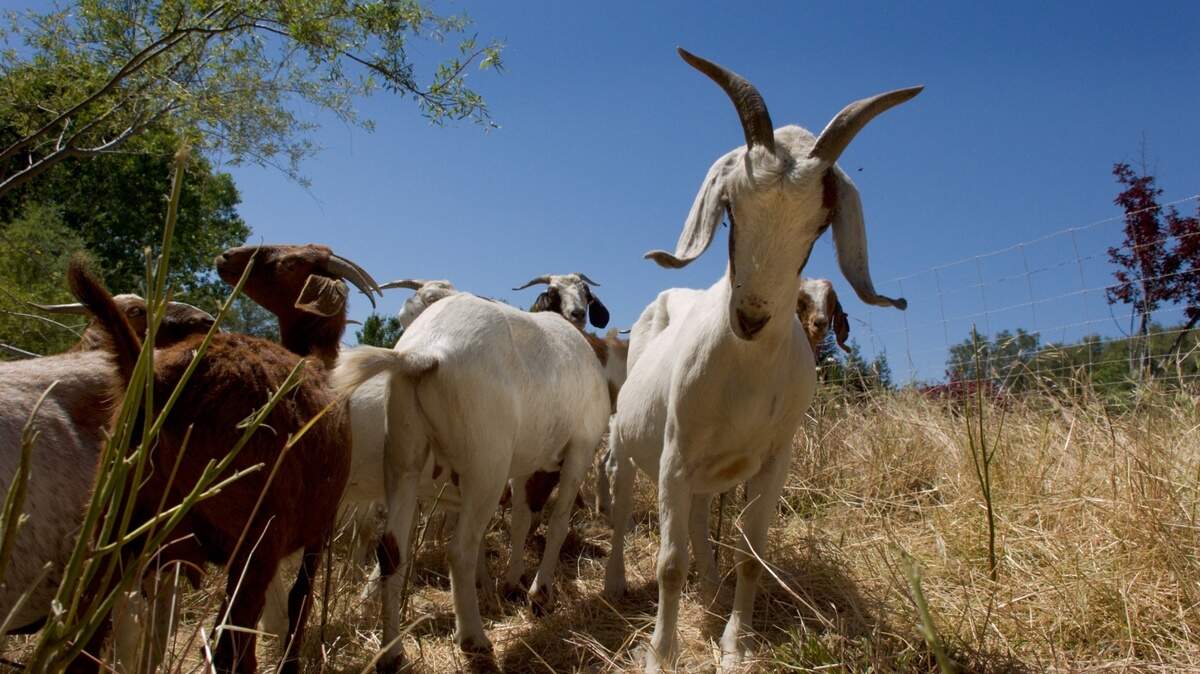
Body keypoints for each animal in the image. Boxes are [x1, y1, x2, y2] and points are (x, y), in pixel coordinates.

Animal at [64, 243, 379, 673]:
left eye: (290, 263)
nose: (228, 257)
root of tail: (158, 383)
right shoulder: (317, 531)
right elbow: (299, 601)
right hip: (255, 539)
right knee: (234, 643)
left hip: (111, 523)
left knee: (85, 633)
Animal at [332, 292, 611, 671]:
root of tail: (425, 350)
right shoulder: (580, 447)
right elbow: (557, 523)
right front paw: (539, 595)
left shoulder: (524, 463)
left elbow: (521, 520)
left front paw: (513, 582)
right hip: (486, 464)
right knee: (460, 549)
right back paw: (474, 640)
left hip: (403, 456)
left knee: (391, 551)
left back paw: (392, 653)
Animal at [602, 48, 918, 671]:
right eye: (730, 208)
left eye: (820, 223)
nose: (750, 317)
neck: (745, 369)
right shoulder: (674, 457)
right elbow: (667, 563)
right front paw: (661, 654)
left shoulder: (773, 462)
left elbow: (751, 555)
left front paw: (736, 642)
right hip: (629, 446)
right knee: (624, 509)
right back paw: (616, 583)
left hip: (705, 476)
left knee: (701, 523)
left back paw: (709, 587)